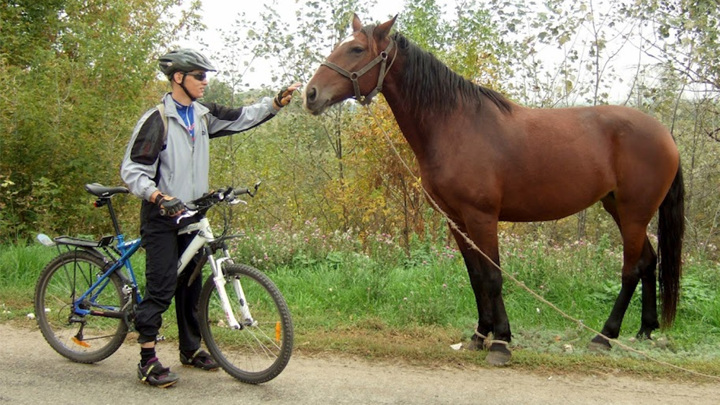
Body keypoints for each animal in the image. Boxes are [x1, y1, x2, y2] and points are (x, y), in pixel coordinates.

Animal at [300, 14, 684, 364]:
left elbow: (494, 276)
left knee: (631, 269)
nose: (310, 95)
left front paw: (501, 342)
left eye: (356, 49)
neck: (454, 124)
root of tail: (664, 134)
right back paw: (645, 330)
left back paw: (604, 336)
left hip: (634, 213)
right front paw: (479, 335)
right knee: (648, 262)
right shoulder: (457, 221)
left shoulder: (482, 217)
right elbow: (476, 278)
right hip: (618, 208)